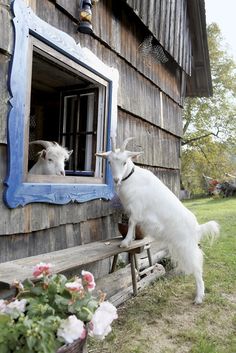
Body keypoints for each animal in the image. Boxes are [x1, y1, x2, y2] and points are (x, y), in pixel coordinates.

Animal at [96, 137, 219, 302]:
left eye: (124, 162)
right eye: (109, 162)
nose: (116, 179)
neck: (132, 178)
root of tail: (197, 228)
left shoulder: (136, 208)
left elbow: (131, 223)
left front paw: (125, 242)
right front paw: (131, 239)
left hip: (187, 247)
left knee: (197, 266)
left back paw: (199, 297)